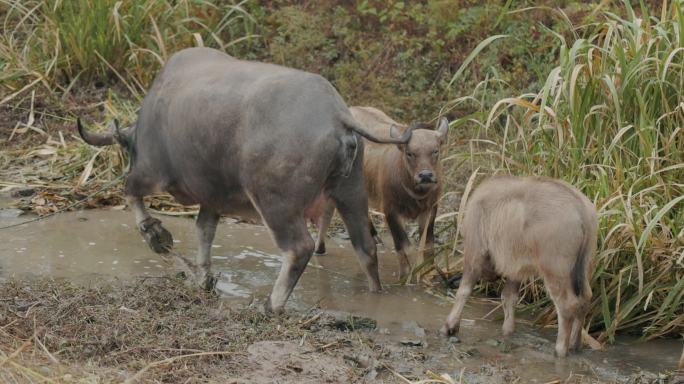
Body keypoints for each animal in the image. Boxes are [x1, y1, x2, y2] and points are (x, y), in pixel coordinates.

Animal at [77, 47, 414, 312]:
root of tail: (336, 115)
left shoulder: (150, 172)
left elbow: (130, 192)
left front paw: (156, 236)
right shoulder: (212, 198)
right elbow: (204, 232)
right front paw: (202, 277)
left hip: (274, 201)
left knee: (299, 247)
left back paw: (271, 305)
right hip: (351, 192)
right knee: (365, 247)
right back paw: (374, 293)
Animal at [312, 106, 446, 280]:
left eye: (435, 151)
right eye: (409, 153)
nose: (425, 175)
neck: (416, 194)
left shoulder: (431, 209)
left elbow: (428, 245)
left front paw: (428, 273)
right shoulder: (391, 211)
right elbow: (404, 246)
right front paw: (406, 276)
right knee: (326, 215)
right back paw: (319, 249)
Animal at [440, 176, 596, 358]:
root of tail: (581, 209)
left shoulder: (475, 253)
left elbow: (463, 291)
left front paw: (449, 326)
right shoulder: (516, 271)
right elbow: (509, 297)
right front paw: (508, 330)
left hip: (555, 272)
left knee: (567, 306)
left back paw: (560, 349)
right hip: (583, 269)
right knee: (585, 299)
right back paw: (574, 344)